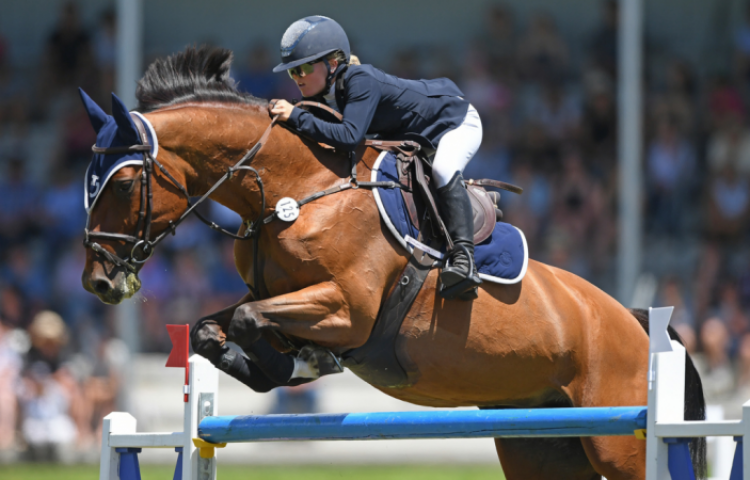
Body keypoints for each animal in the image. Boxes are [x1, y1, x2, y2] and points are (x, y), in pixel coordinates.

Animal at [79, 46, 705, 480]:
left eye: (125, 182)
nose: (98, 281)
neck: (294, 189)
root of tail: (635, 321)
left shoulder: (348, 310)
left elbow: (253, 320)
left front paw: (303, 363)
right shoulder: (275, 294)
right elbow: (213, 328)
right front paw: (276, 365)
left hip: (617, 444)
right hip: (541, 446)